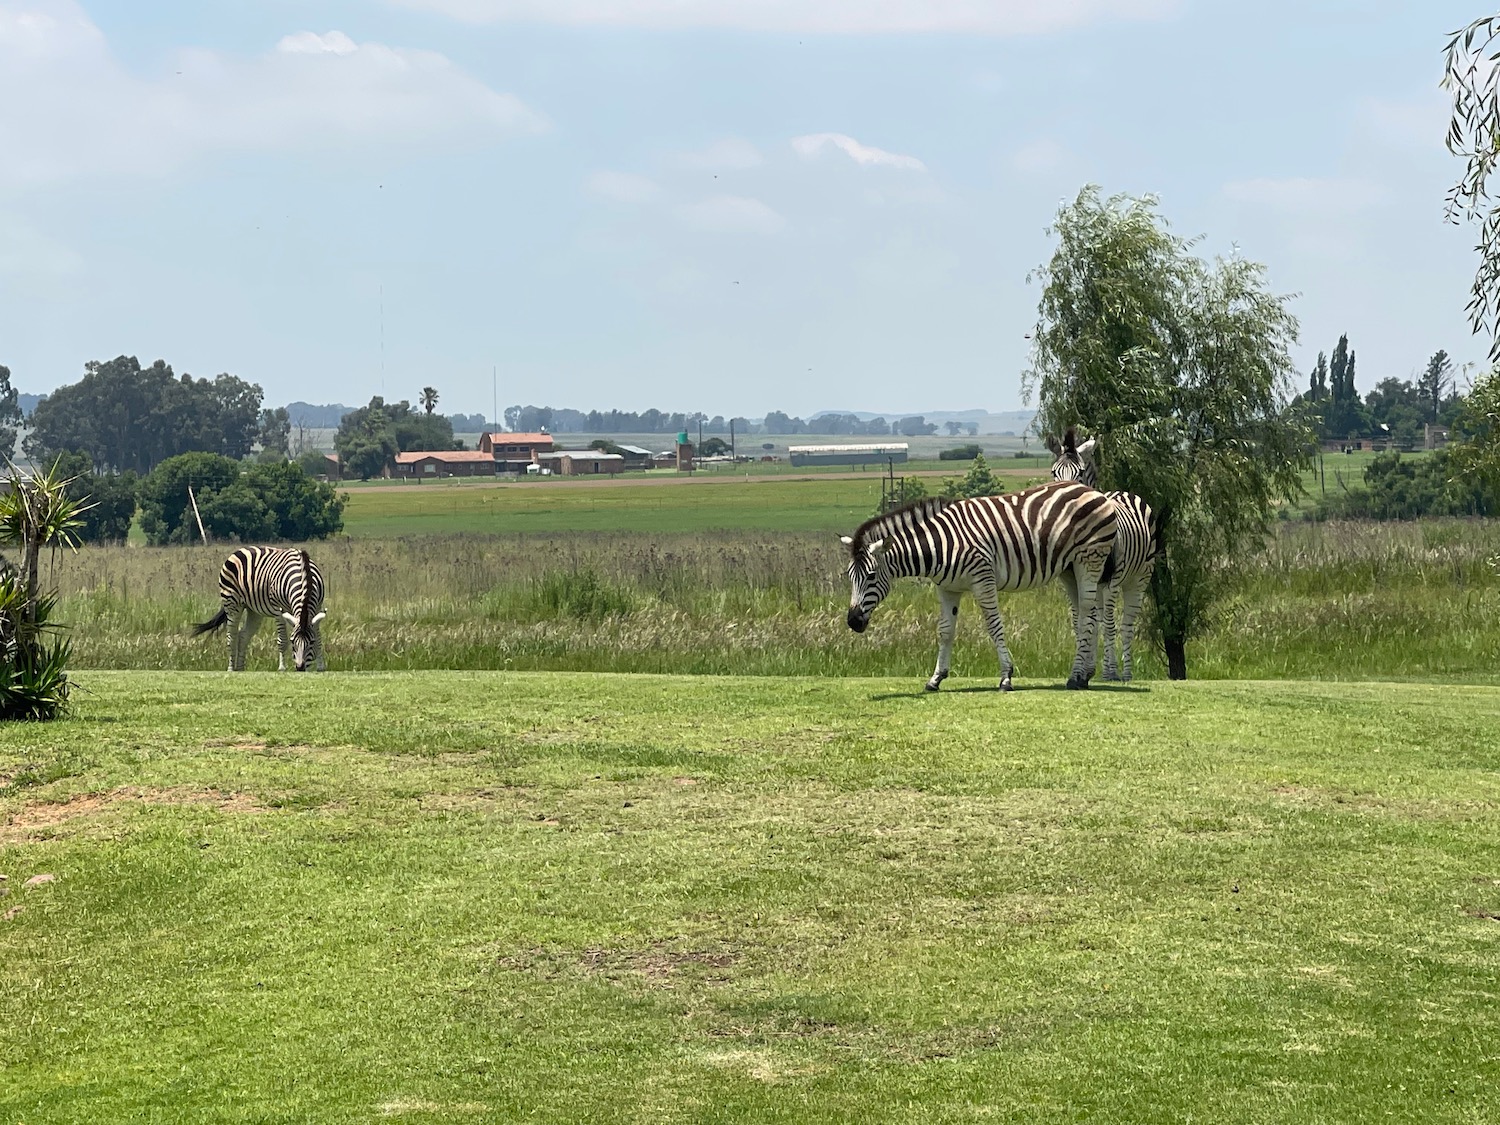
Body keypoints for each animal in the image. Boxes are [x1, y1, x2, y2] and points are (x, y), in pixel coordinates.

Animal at [192, 549, 327, 675]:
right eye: (292, 641)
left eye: (311, 642)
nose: (300, 668)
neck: (304, 575)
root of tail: (239, 550)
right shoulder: (279, 610)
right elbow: (282, 640)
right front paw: (282, 668)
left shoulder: (317, 608)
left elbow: (319, 639)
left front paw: (321, 667)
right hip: (231, 604)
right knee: (232, 637)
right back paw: (231, 668)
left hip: (254, 611)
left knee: (243, 635)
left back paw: (240, 668)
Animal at [840, 486, 1122, 696]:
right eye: (849, 577)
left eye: (871, 576)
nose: (853, 621)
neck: (940, 544)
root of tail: (1092, 491)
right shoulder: (947, 588)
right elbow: (945, 631)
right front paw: (936, 678)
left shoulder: (983, 579)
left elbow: (994, 626)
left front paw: (1006, 678)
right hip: (1069, 568)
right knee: (1087, 613)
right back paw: (1085, 675)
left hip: (1090, 559)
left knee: (1086, 614)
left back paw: (1075, 677)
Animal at [1044, 426, 1158, 684]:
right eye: (1054, 472)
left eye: (1080, 473)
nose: (1062, 497)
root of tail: (1123, 493)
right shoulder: (1071, 579)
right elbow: (1082, 621)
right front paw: (1085, 670)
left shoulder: (1112, 580)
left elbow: (1108, 624)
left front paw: (1110, 671)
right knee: (1098, 618)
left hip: (1138, 578)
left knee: (1125, 624)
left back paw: (1124, 673)